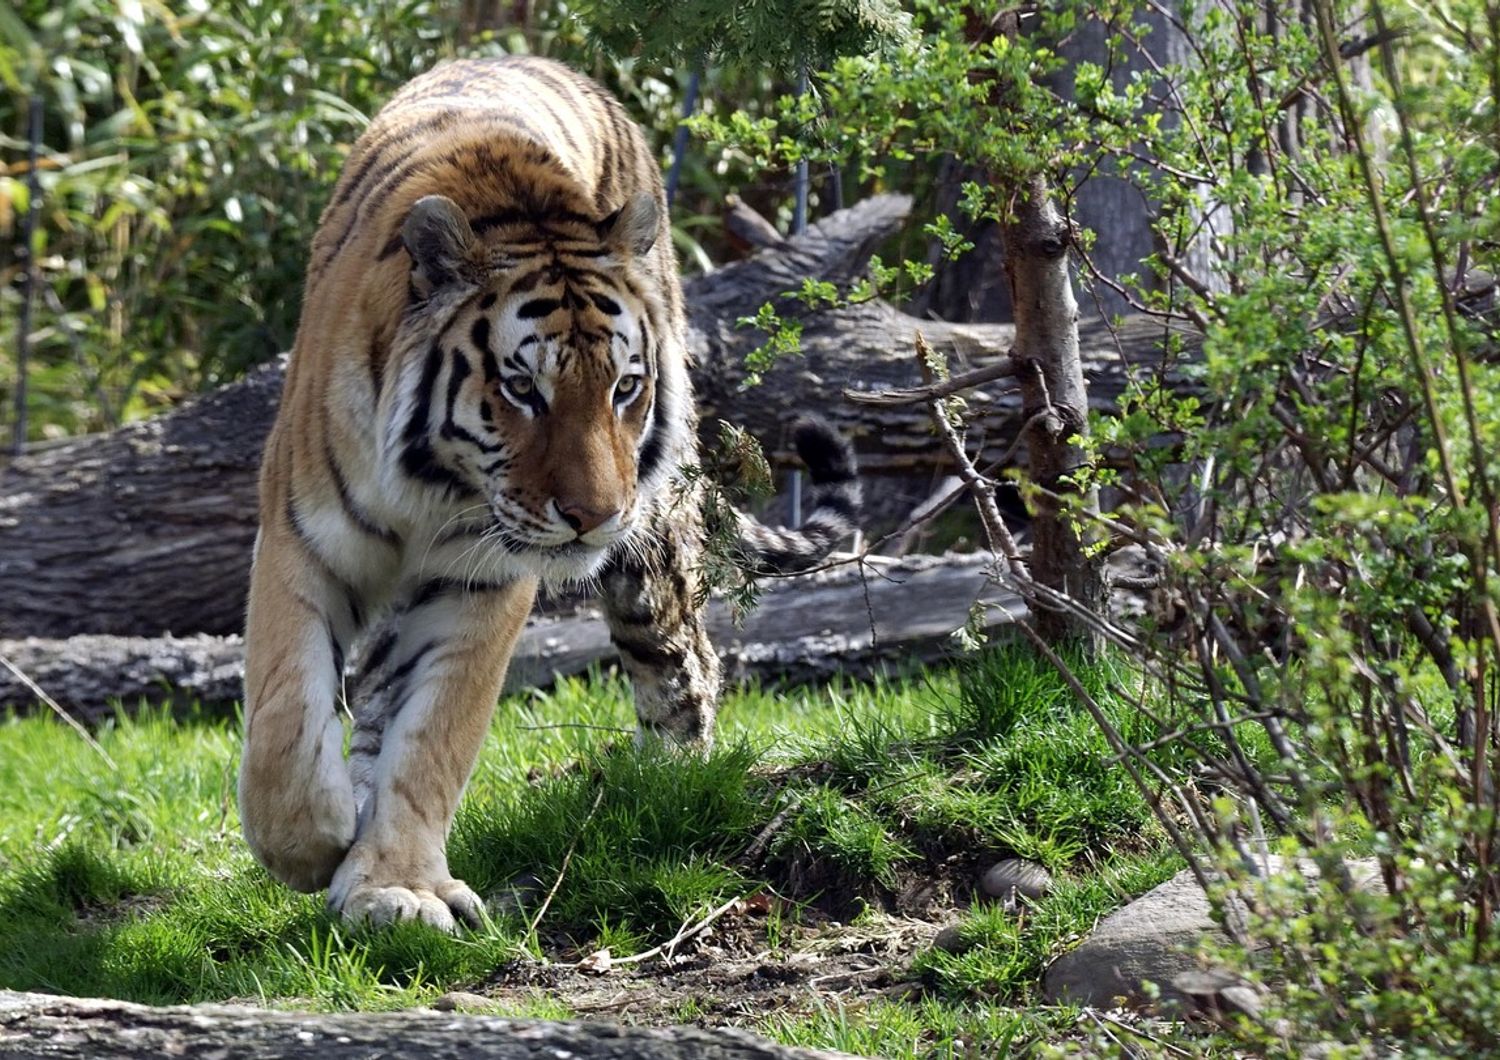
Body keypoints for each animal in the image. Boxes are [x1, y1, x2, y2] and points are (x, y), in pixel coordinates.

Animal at [240, 58, 864, 935]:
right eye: (522, 389)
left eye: (624, 388)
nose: (593, 516)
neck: (433, 484)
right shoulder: (302, 540)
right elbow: (285, 715)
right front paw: (318, 844)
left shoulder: (482, 578)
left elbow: (436, 735)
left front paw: (396, 882)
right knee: (372, 693)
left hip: (649, 558)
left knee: (685, 664)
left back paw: (674, 788)